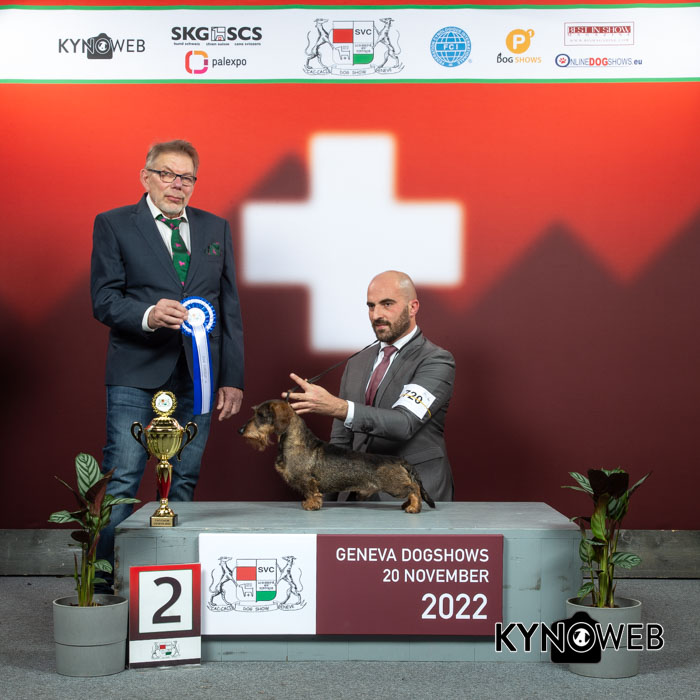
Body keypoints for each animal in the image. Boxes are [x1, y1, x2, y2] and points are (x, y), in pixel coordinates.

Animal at [238, 400, 435, 514]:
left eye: (261, 415)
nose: (241, 430)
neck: (296, 442)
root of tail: (400, 460)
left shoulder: (307, 480)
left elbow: (311, 492)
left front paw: (311, 505)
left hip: (394, 486)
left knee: (414, 489)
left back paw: (413, 507)